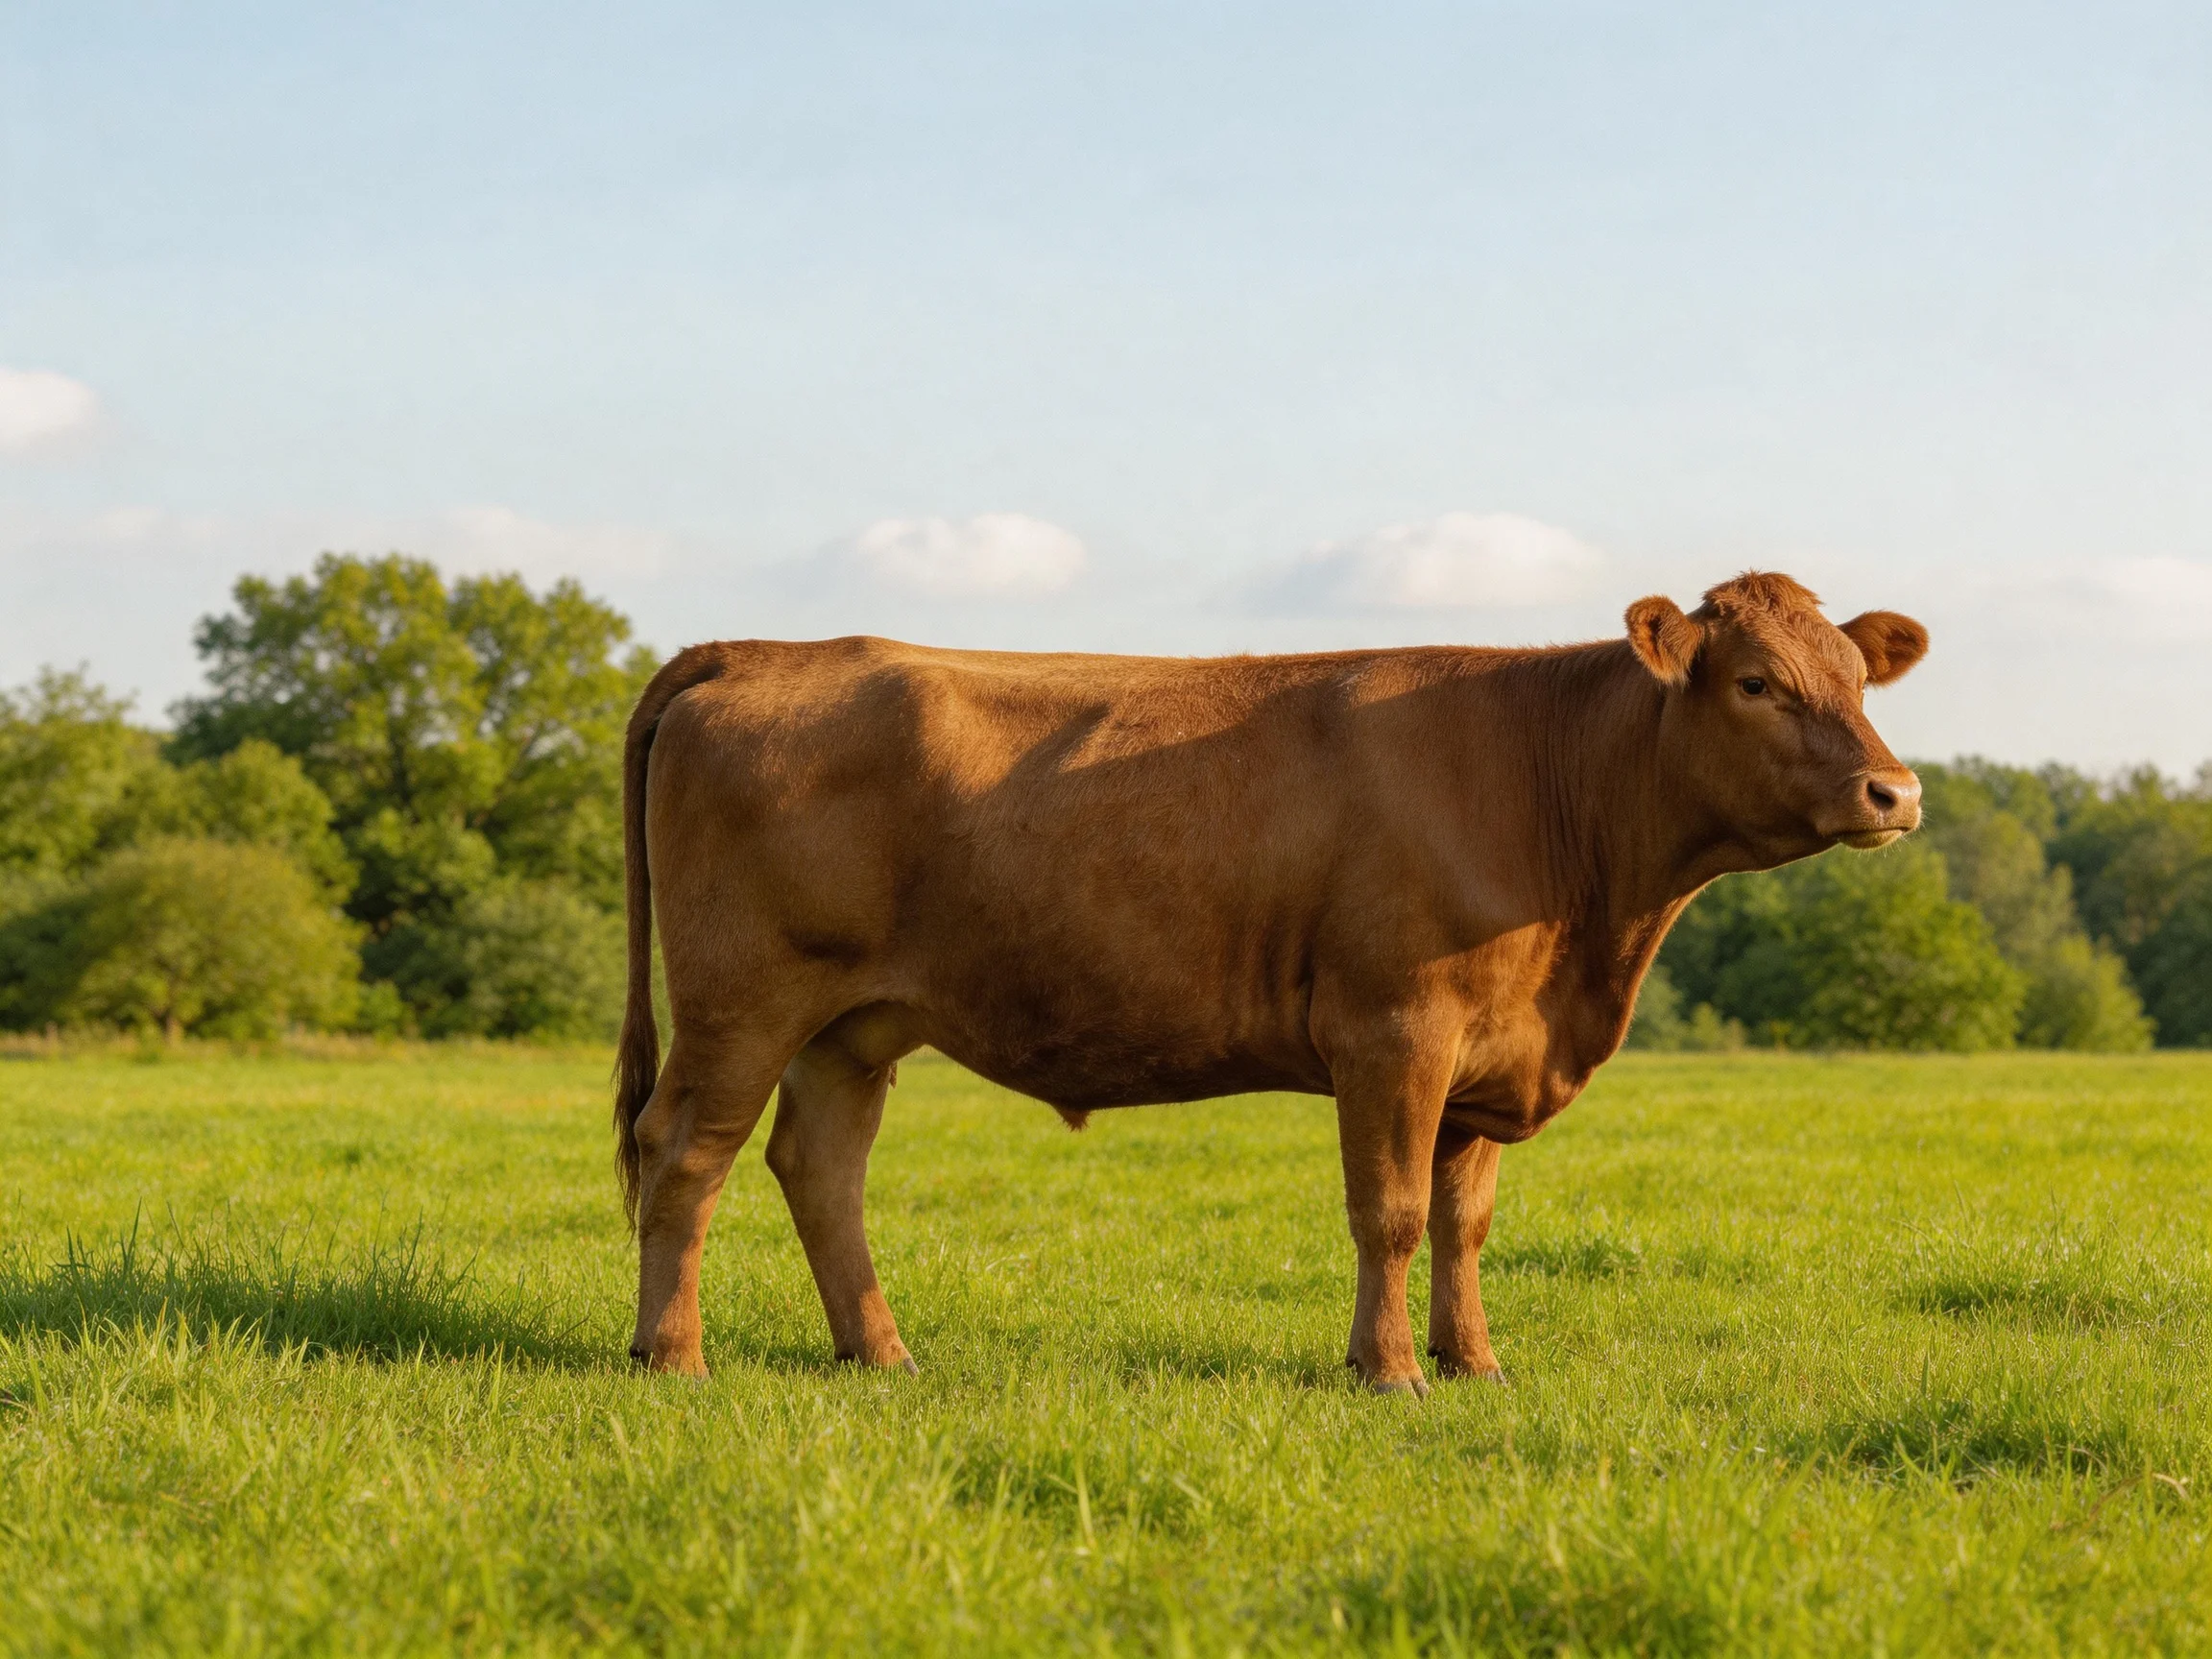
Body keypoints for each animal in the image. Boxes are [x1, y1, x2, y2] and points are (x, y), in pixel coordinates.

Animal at [612, 571, 1926, 1393]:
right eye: (1755, 682)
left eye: (1860, 679)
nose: (1896, 791)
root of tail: (765, 651)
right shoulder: (1393, 1029)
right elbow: (1390, 1212)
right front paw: (1390, 1374)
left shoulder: (1486, 1051)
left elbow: (1464, 1222)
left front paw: (1476, 1362)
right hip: (745, 1000)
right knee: (686, 1153)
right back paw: (674, 1358)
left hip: (854, 1024)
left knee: (819, 1167)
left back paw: (880, 1354)